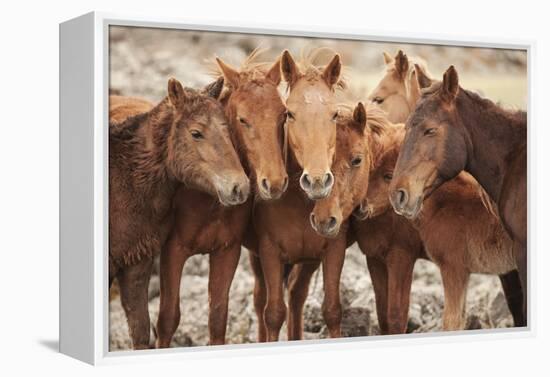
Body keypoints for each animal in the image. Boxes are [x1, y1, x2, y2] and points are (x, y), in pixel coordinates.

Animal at [155, 50, 288, 346]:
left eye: (284, 116)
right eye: (242, 119)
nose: (274, 183)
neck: (208, 200)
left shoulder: (227, 251)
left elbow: (217, 319)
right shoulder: (172, 250)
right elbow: (167, 319)